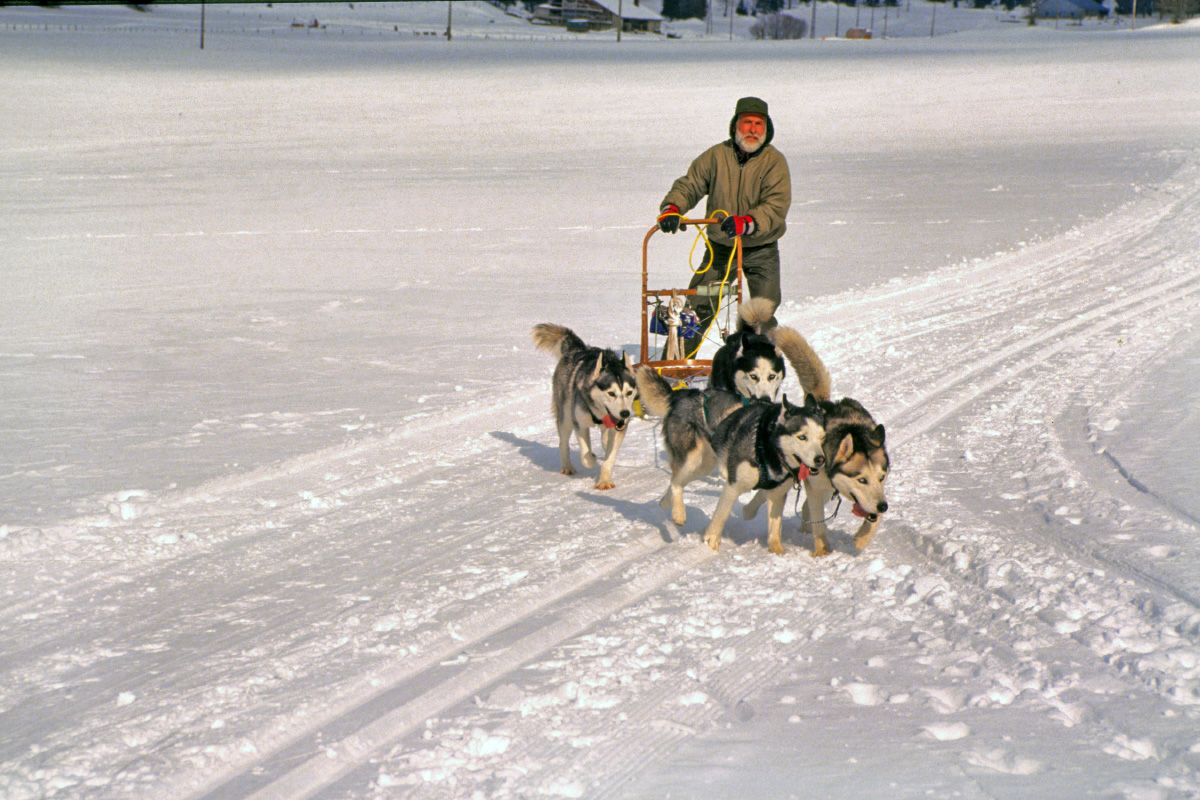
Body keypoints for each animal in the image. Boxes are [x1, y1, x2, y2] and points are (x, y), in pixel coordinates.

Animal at [532, 323, 638, 489]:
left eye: (629, 392)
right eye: (611, 393)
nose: (625, 413)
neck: (600, 414)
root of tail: (577, 350)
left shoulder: (619, 429)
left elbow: (609, 456)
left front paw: (604, 480)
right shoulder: (580, 424)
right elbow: (586, 454)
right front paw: (592, 458)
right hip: (566, 418)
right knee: (563, 443)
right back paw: (567, 467)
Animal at [700, 395, 825, 556]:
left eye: (822, 438)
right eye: (802, 437)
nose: (820, 459)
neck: (770, 450)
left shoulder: (777, 493)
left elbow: (774, 525)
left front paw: (777, 551)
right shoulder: (734, 486)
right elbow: (722, 514)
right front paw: (711, 543)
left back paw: (749, 509)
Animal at [758, 326, 892, 556]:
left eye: (881, 477)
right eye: (862, 479)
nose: (883, 506)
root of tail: (823, 404)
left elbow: (874, 521)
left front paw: (862, 538)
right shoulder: (816, 489)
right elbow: (818, 523)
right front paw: (822, 552)